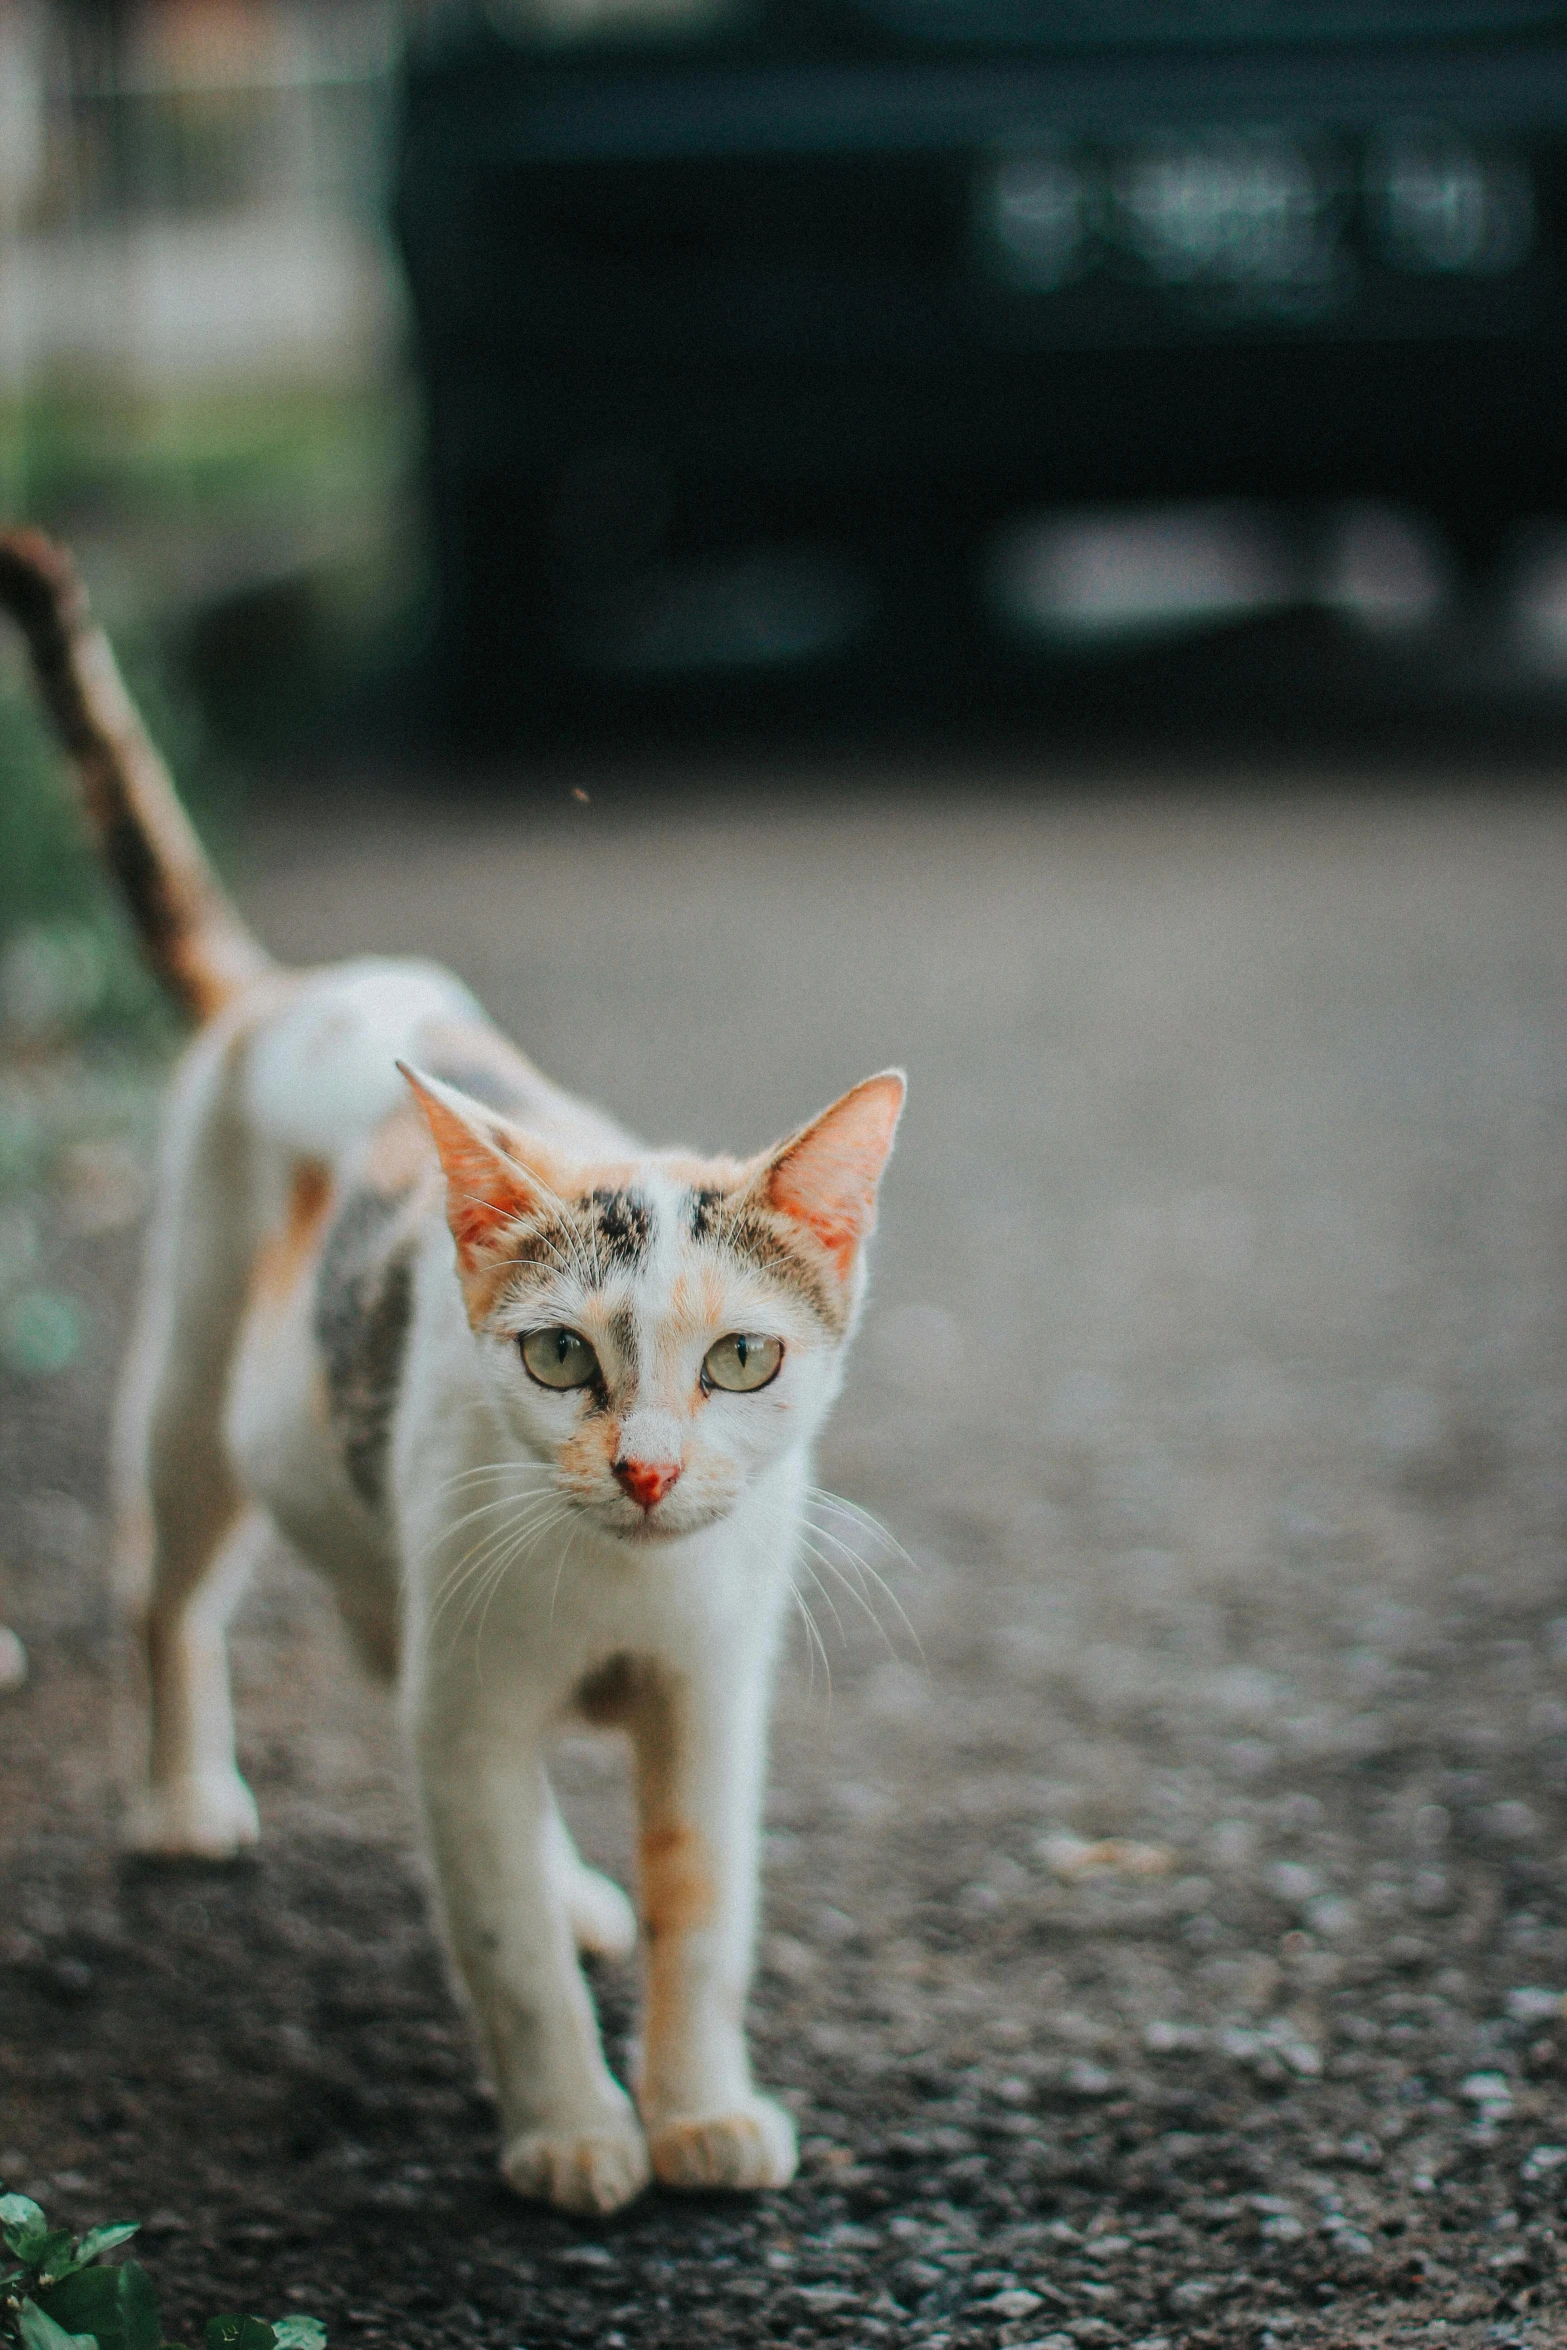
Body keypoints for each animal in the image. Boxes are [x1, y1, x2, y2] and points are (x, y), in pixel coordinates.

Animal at [0, 533, 906, 2218]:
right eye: (557, 1355)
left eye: (742, 1358)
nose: (645, 1466)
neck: (615, 1591)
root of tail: (290, 983)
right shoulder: (471, 1693)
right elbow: (499, 1941)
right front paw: (568, 2130)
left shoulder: (706, 1693)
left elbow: (705, 1915)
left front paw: (699, 2107)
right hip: (196, 1375)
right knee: (168, 1585)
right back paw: (182, 1798)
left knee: (378, 1651)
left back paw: (578, 1885)